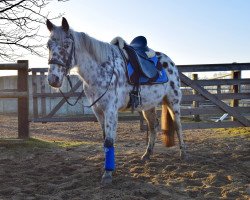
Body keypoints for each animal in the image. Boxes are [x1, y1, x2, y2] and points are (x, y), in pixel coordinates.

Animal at [46, 17, 187, 184]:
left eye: (67, 45)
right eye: (48, 45)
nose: (53, 79)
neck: (101, 70)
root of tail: (169, 62)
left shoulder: (111, 111)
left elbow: (109, 141)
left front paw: (107, 174)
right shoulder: (98, 111)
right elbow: (105, 139)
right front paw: (108, 169)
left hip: (173, 102)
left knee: (178, 125)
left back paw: (183, 154)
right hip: (148, 106)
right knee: (153, 126)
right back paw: (147, 154)